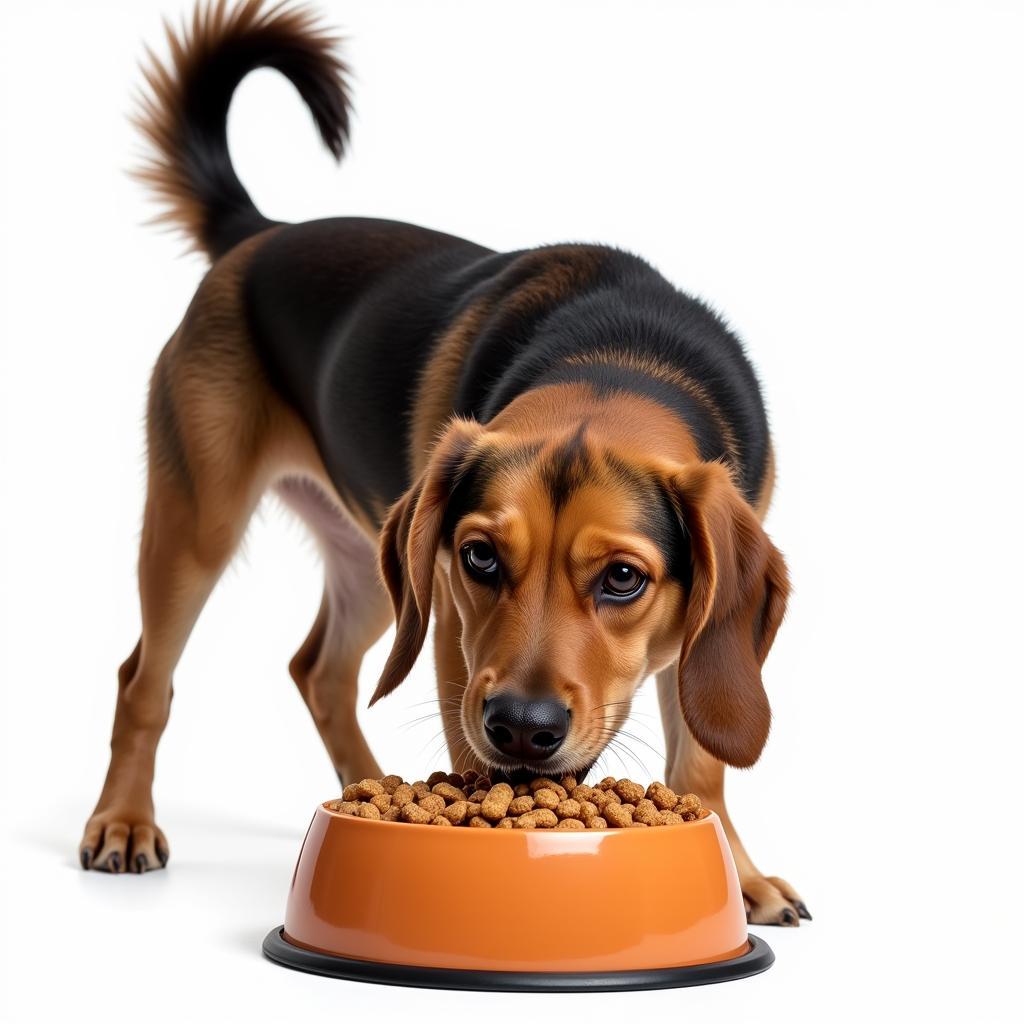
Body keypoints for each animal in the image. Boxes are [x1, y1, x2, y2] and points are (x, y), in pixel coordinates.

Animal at [79, 0, 806, 929]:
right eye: (481, 557)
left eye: (623, 579)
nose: (523, 728)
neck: (618, 360)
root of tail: (260, 235)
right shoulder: (457, 647)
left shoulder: (700, 632)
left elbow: (704, 765)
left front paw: (738, 876)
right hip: (203, 528)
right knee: (144, 679)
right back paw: (124, 821)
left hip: (375, 562)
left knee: (319, 671)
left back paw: (365, 790)